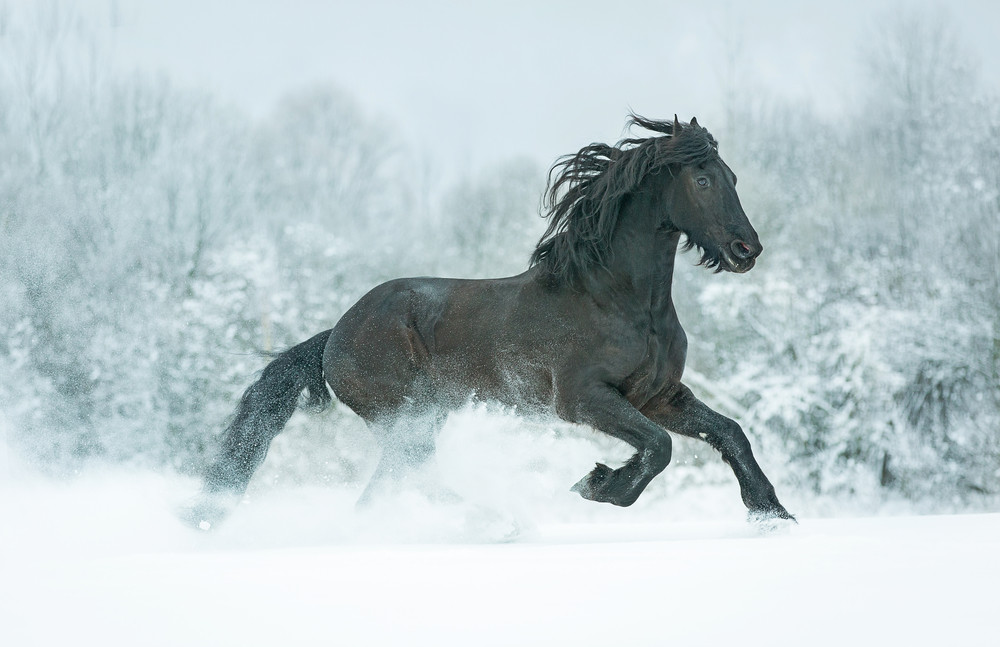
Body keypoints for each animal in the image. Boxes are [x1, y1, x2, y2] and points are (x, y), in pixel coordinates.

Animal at [192, 114, 794, 527]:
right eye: (703, 180)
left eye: (731, 175)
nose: (747, 249)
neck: (622, 302)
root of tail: (334, 336)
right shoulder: (583, 398)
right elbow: (659, 448)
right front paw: (597, 485)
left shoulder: (659, 396)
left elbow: (729, 433)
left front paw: (772, 514)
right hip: (407, 416)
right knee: (411, 478)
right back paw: (496, 524)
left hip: (424, 417)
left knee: (390, 488)